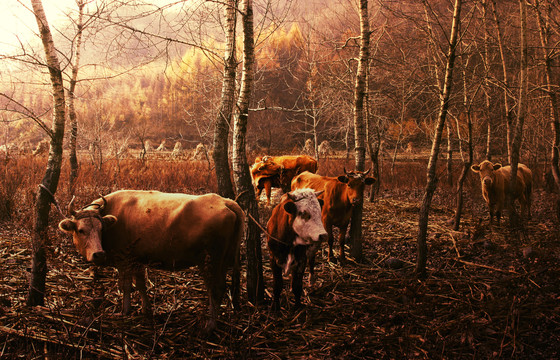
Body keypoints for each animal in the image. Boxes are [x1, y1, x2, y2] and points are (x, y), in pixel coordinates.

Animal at [58, 190, 244, 334]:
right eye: (80, 230)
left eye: (101, 229)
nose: (98, 254)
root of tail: (225, 201)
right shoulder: (137, 260)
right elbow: (140, 284)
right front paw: (146, 310)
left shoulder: (124, 260)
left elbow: (126, 286)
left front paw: (125, 311)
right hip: (223, 260)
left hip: (210, 260)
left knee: (216, 288)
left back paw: (210, 325)